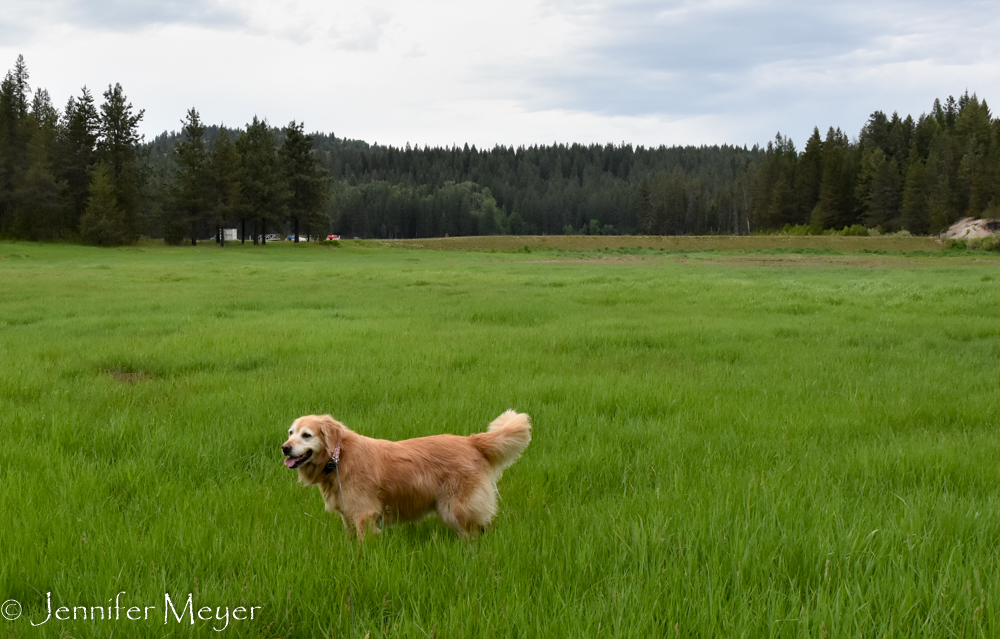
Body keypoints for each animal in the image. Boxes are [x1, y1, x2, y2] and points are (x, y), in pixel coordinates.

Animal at [282, 412, 532, 536]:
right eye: (291, 432)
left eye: (306, 435)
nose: (284, 448)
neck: (339, 457)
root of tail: (471, 441)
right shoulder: (348, 515)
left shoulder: (364, 513)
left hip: (456, 507)